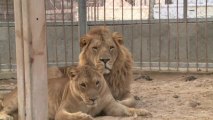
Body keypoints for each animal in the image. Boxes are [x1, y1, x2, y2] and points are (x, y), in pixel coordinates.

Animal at [0, 65, 151, 120]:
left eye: (97, 82)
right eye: (83, 85)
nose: (93, 99)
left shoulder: (111, 106)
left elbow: (127, 109)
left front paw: (143, 112)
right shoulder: (60, 111)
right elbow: (69, 116)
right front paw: (83, 116)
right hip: (16, 101)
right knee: (3, 109)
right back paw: (6, 117)